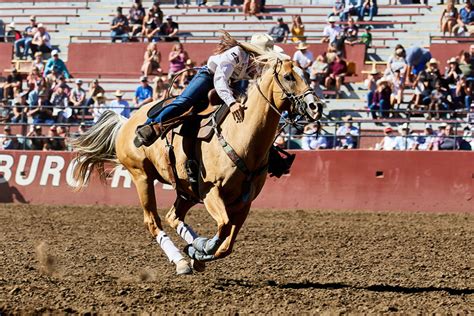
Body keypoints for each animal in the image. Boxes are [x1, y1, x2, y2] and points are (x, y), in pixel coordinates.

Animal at [71, 56, 322, 274]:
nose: (315, 106)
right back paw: (181, 262)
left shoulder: (245, 202)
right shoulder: (211, 192)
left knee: (173, 216)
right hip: (141, 176)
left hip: (186, 190)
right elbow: (223, 227)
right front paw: (202, 248)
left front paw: (199, 250)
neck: (241, 136)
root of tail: (127, 123)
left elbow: (227, 244)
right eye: (289, 76)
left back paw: (192, 252)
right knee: (153, 221)